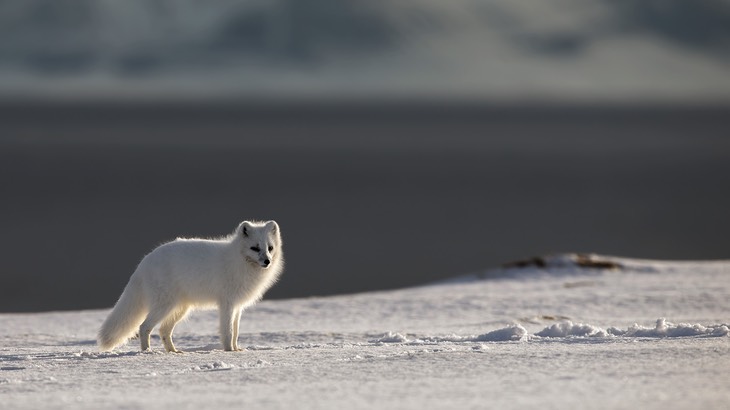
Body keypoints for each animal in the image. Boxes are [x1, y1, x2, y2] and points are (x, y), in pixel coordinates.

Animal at [94, 221, 282, 352]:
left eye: (270, 248)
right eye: (255, 248)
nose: (267, 261)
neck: (239, 261)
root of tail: (145, 261)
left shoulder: (238, 306)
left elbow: (235, 332)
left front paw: (237, 350)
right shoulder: (227, 304)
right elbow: (228, 332)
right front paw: (229, 351)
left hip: (180, 309)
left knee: (163, 330)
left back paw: (174, 352)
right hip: (165, 305)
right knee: (144, 327)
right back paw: (147, 352)